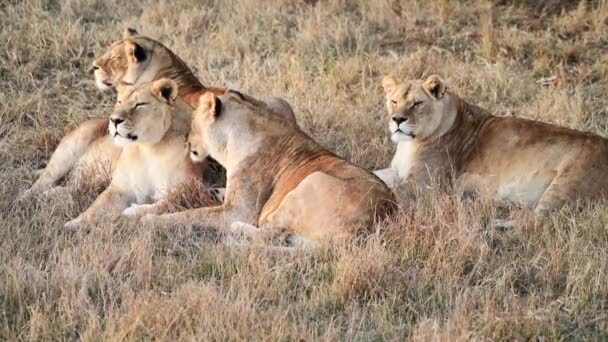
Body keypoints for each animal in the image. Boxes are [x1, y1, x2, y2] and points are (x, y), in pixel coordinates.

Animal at [65, 79, 204, 228]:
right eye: (119, 102)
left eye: (139, 104)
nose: (114, 120)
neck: (149, 148)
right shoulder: (119, 188)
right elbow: (95, 208)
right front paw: (73, 224)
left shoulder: (188, 190)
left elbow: (163, 205)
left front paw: (131, 212)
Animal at [144, 89, 396, 247]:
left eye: (193, 123)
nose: (186, 140)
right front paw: (214, 191)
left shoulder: (239, 210)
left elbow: (188, 215)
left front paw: (150, 220)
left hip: (310, 182)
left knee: (269, 234)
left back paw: (236, 232)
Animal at [372, 75, 608, 215]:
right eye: (394, 101)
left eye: (417, 103)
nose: (397, 119)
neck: (409, 144)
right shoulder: (397, 171)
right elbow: (376, 174)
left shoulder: (427, 186)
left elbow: (392, 190)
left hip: (565, 186)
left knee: (536, 223)